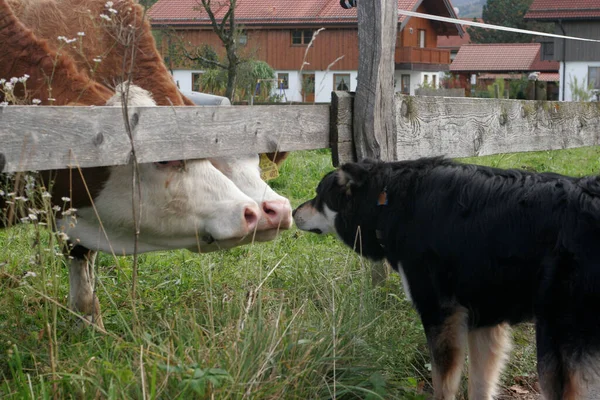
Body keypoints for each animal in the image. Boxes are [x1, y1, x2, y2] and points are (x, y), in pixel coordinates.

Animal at [292, 157, 600, 400]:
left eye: (319, 195)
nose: (293, 212)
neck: (388, 200)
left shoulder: (440, 313)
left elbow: (443, 384)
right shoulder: (483, 319)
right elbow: (479, 385)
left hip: (556, 343)